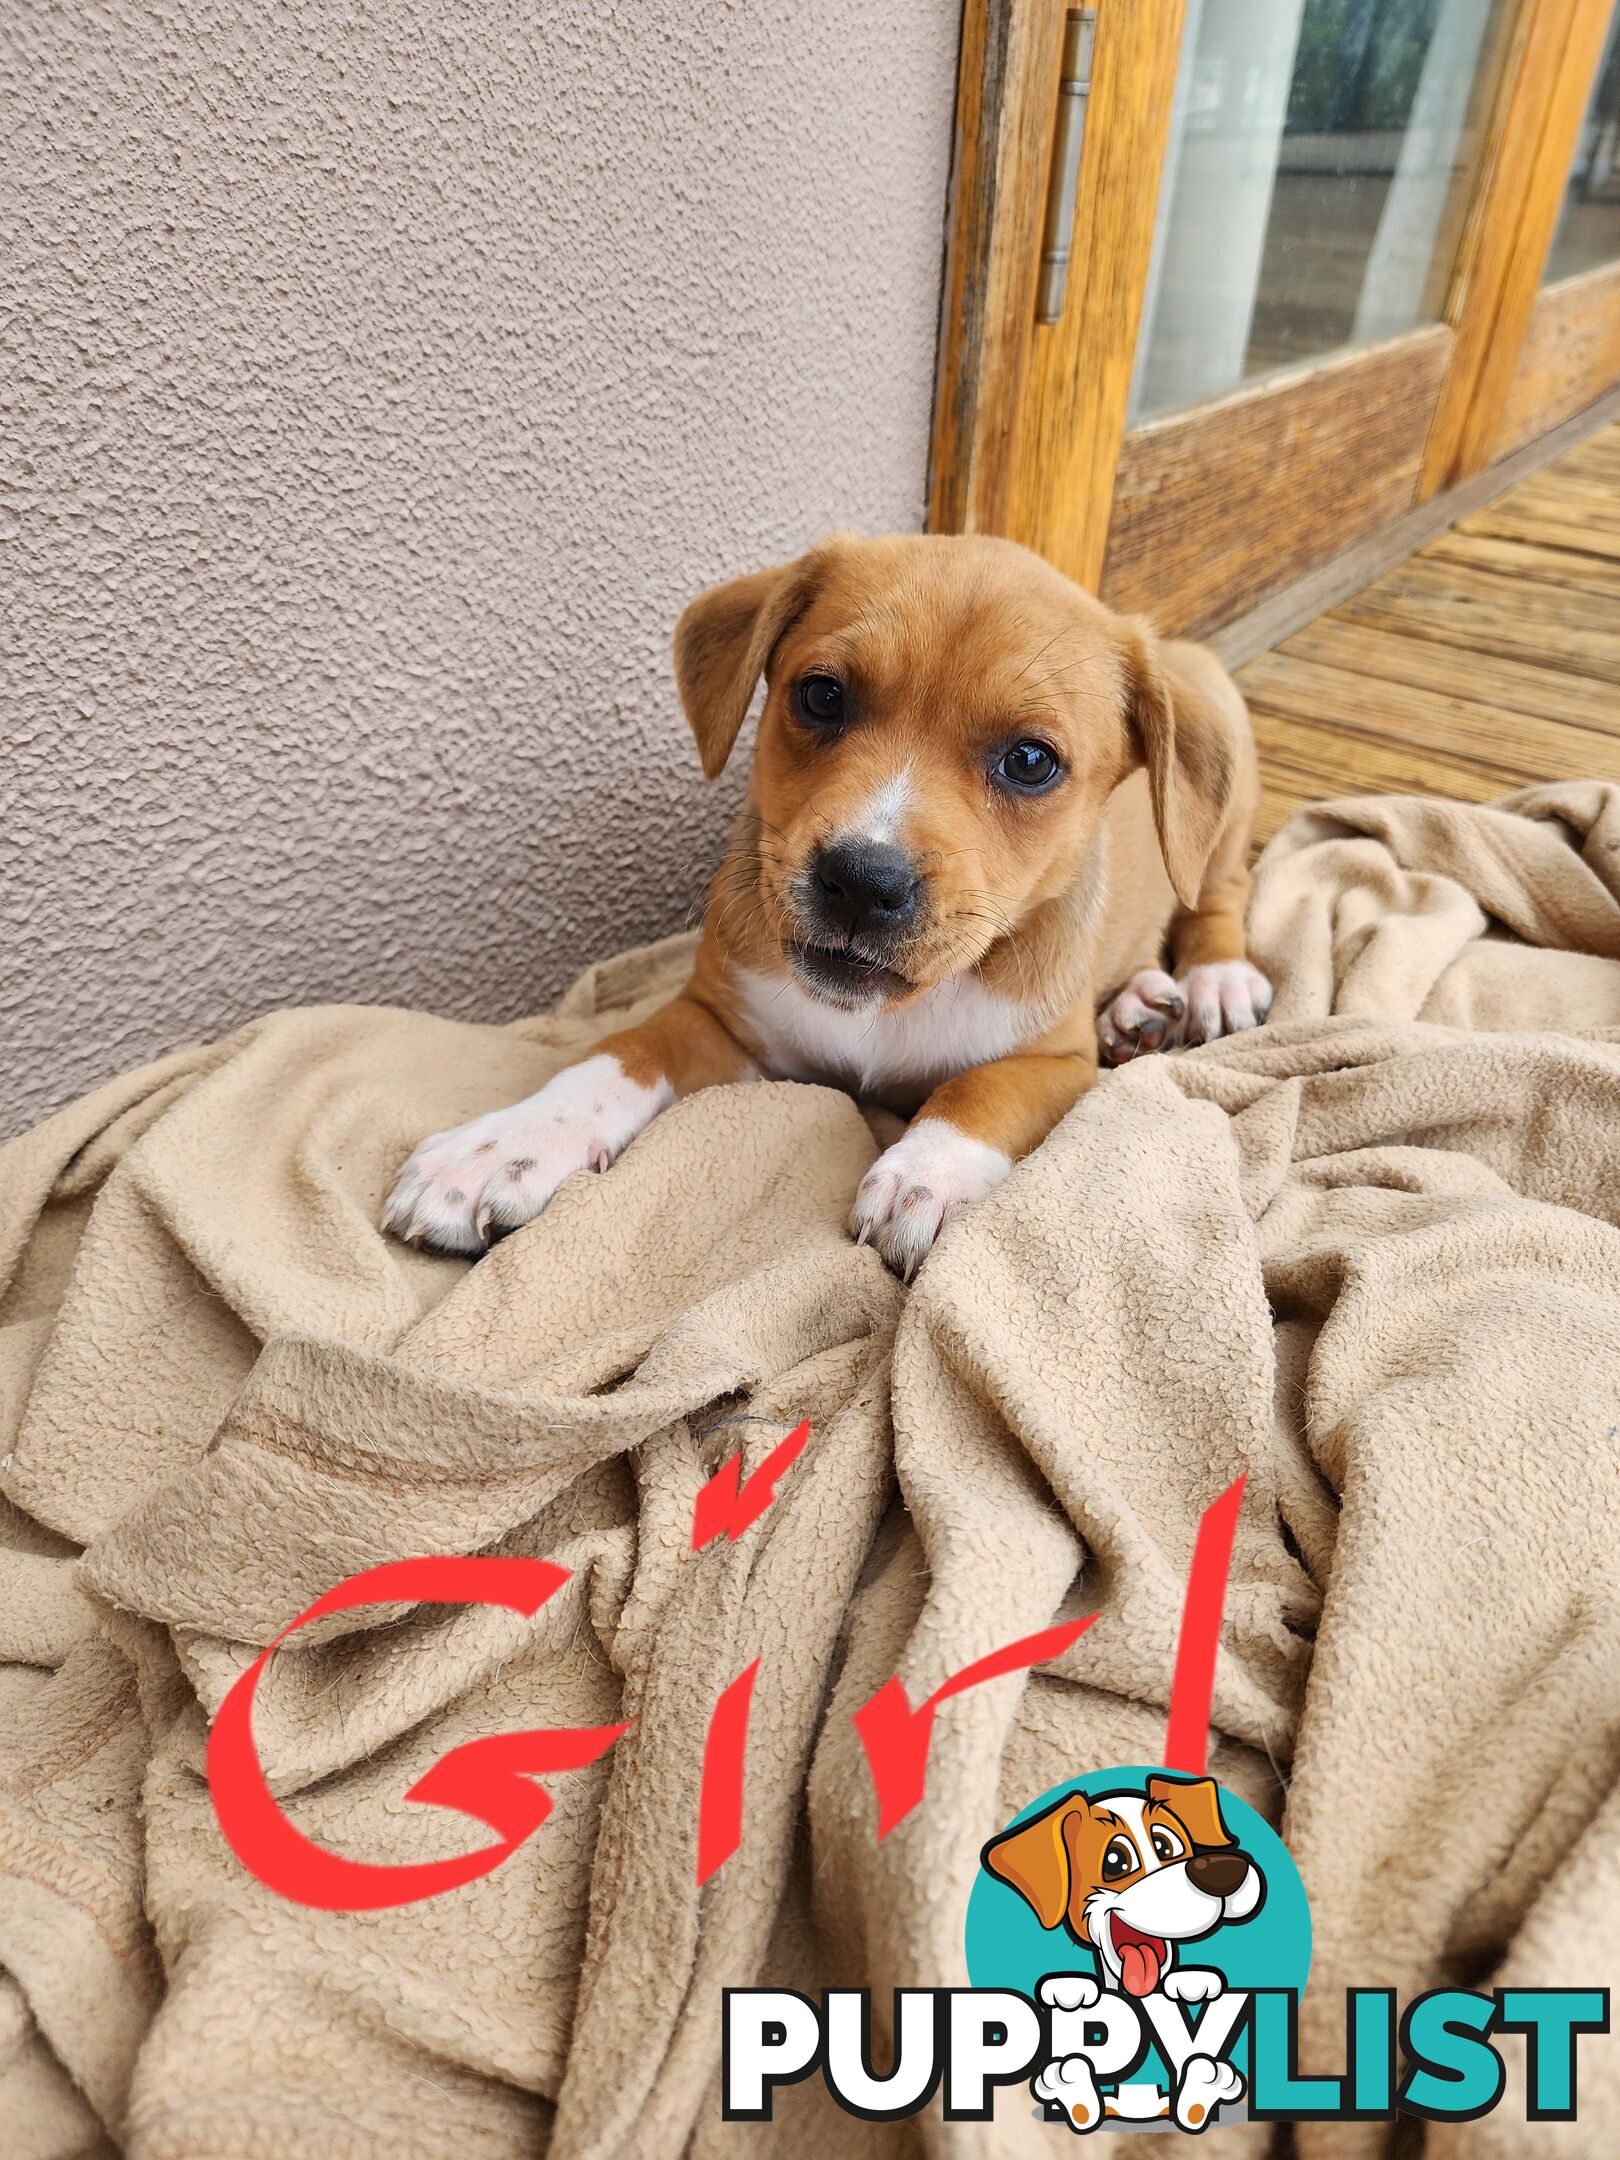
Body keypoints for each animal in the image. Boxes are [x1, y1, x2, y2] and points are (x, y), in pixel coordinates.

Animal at [386, 533, 1278, 1270]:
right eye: (821, 697)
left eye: (1030, 761)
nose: (862, 880)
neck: (882, 1017)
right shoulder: (717, 1015)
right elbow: (617, 1055)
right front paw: (500, 1148)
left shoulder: (1056, 1066)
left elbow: (978, 1090)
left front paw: (926, 1172)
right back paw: (1138, 1005)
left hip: (1228, 791)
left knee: (1219, 892)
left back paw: (1207, 982)